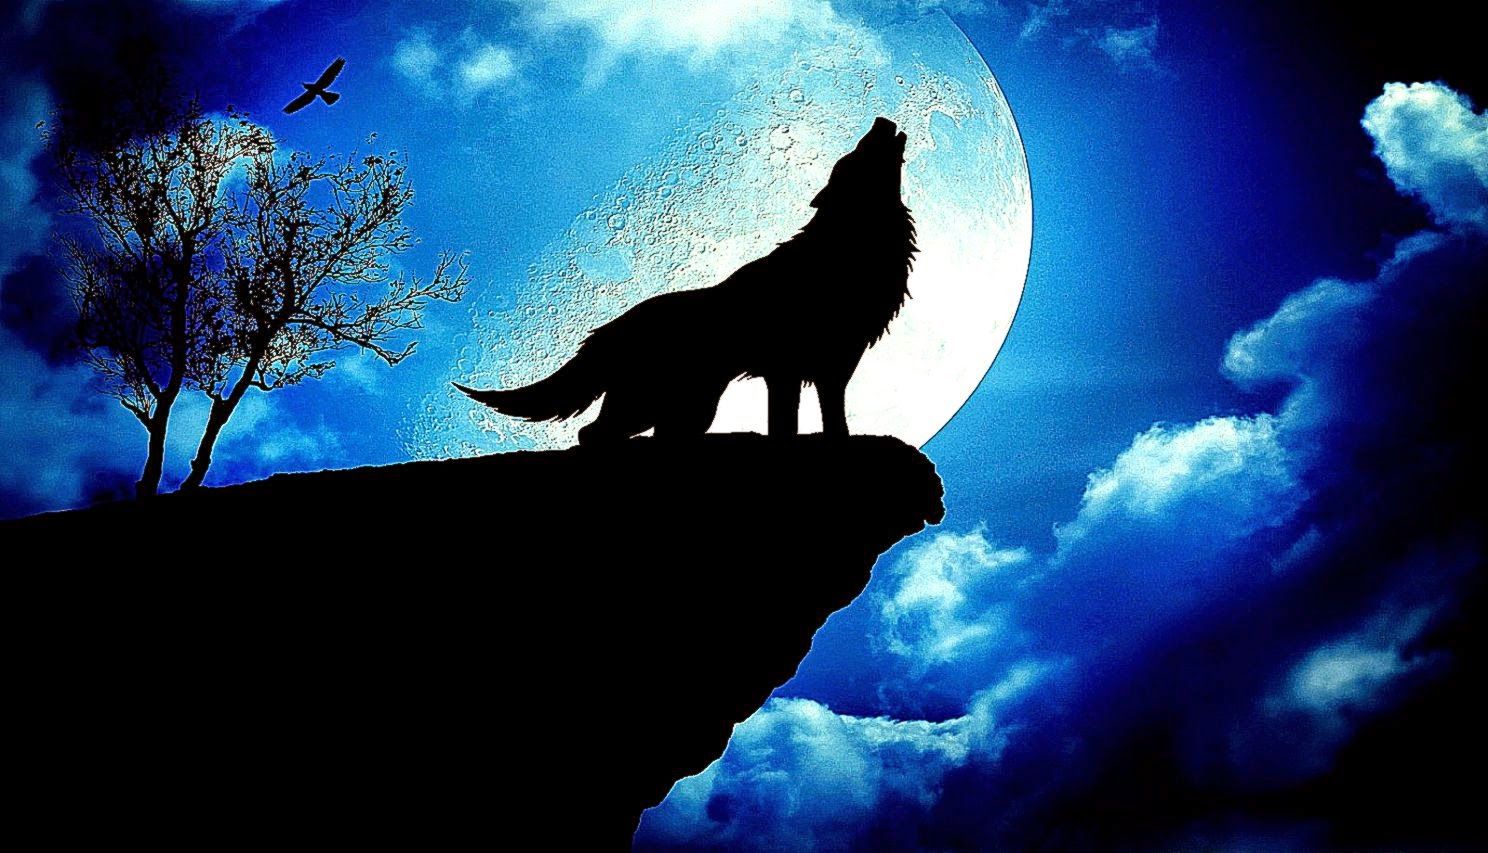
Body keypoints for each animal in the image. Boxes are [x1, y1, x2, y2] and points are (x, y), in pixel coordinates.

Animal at [455, 116, 917, 445]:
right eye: (855, 155)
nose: (880, 120)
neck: (843, 250)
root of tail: (607, 330)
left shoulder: (834, 366)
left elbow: (832, 420)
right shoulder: (785, 369)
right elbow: (785, 425)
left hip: (689, 407)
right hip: (652, 402)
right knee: (591, 434)